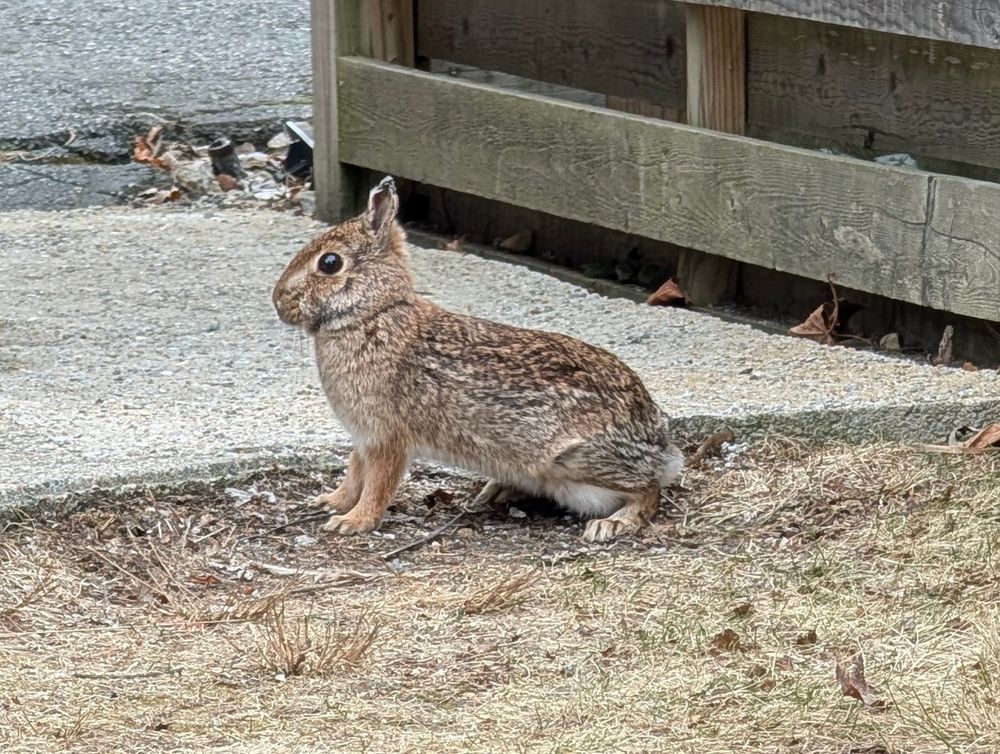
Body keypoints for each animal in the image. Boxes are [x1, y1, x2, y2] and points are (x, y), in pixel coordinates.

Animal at [272, 176, 684, 542]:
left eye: (329, 263)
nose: (277, 301)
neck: (372, 314)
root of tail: (661, 444)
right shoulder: (363, 435)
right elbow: (354, 471)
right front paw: (331, 502)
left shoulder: (387, 437)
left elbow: (377, 483)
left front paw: (354, 522)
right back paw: (497, 491)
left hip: (573, 460)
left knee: (650, 489)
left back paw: (613, 523)